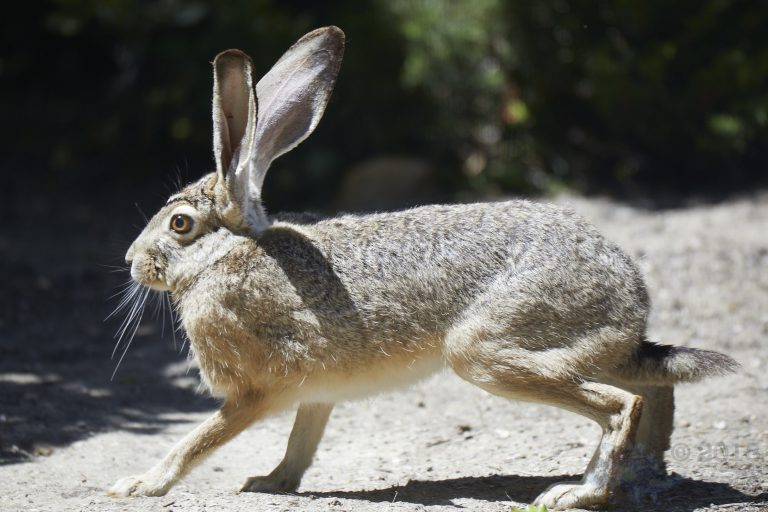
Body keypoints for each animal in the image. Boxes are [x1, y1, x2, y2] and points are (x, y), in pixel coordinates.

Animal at [107, 26, 738, 509]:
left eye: (180, 224)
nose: (132, 262)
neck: (225, 255)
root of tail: (630, 297)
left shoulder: (255, 390)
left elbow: (197, 439)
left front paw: (139, 485)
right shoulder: (316, 393)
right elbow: (301, 441)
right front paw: (270, 481)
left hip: (488, 351)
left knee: (620, 405)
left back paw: (576, 494)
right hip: (580, 353)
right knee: (655, 389)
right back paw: (645, 477)